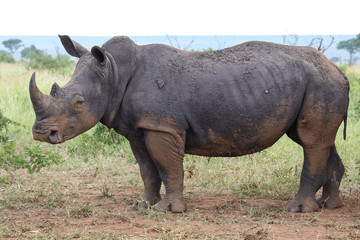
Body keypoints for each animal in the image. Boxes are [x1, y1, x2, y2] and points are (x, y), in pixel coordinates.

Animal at [28, 34, 348, 213]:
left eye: (79, 102)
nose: (42, 134)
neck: (114, 74)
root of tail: (339, 70)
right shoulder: (138, 128)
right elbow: (147, 171)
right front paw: (142, 206)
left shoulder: (161, 125)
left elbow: (168, 166)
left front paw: (169, 210)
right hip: (316, 83)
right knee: (317, 140)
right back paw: (329, 206)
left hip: (321, 83)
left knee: (311, 141)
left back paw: (297, 210)